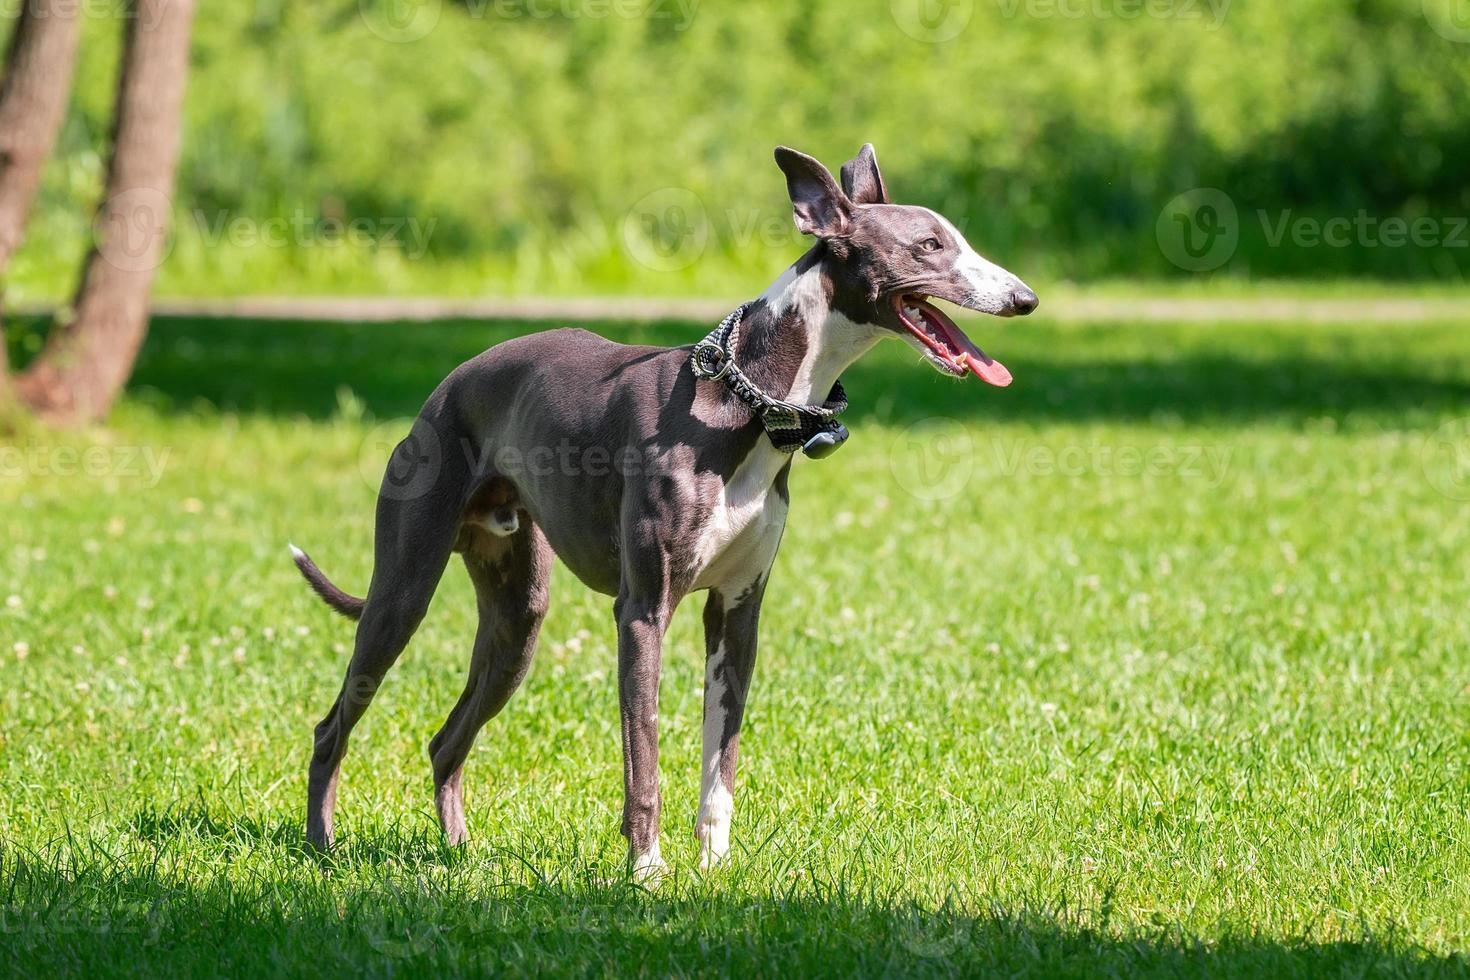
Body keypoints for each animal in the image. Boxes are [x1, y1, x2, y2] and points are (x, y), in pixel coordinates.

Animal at [289, 145, 1034, 881]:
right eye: (930, 245)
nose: (1025, 299)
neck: (745, 401)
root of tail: (445, 391)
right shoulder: (644, 610)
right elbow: (641, 754)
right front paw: (647, 869)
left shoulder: (737, 613)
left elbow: (720, 762)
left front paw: (715, 865)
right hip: (403, 593)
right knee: (334, 726)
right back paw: (322, 846)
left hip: (517, 621)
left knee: (446, 741)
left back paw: (458, 854)